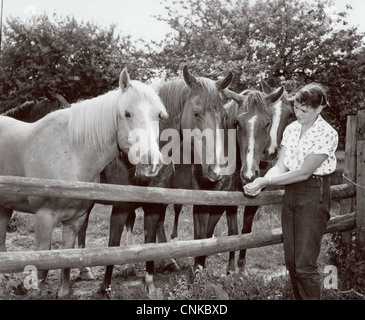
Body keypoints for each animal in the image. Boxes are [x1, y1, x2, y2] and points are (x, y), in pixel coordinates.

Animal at [0, 67, 166, 298]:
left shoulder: (75, 220)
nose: (151, 163)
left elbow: (66, 263)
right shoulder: (44, 218)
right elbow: (41, 266)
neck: (71, 152)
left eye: (159, 115)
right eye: (127, 113)